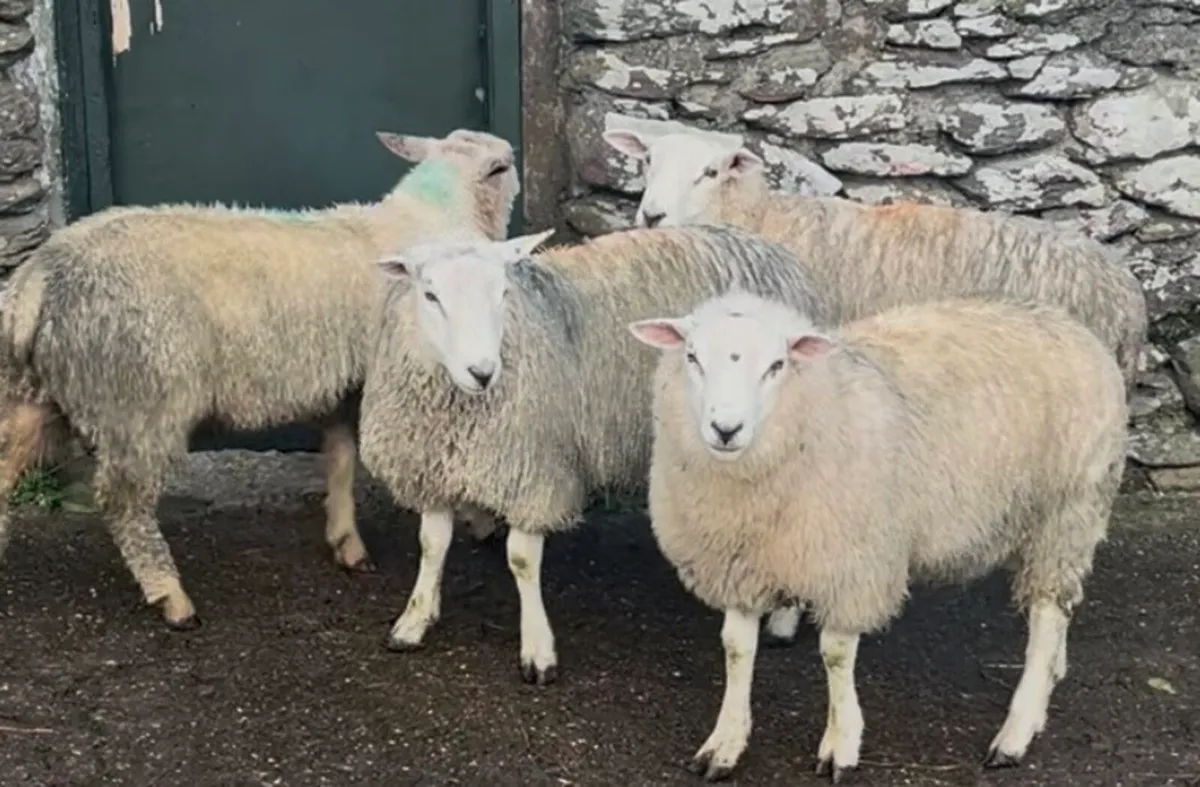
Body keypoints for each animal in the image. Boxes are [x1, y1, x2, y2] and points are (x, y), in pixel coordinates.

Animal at [0, 127, 520, 630]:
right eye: (505, 166)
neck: (431, 217)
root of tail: (37, 277)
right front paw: (476, 518)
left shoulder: (344, 381)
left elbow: (341, 457)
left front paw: (345, 540)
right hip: (140, 399)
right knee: (123, 501)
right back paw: (171, 596)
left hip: (35, 395)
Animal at [357, 224, 835, 685]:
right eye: (430, 295)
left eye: (503, 292)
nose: (482, 371)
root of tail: (773, 250)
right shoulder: (430, 465)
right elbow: (432, 544)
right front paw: (415, 618)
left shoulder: (536, 470)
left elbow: (521, 560)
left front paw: (538, 651)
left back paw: (783, 622)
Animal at [604, 127, 1147, 649]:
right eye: (647, 160)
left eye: (710, 171)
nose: (651, 215)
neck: (761, 218)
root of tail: (1127, 293)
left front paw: (786, 617)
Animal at [629, 290, 1128, 782]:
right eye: (692, 357)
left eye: (776, 365)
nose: (726, 430)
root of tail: (1073, 326)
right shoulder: (739, 565)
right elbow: (735, 649)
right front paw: (725, 743)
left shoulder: (853, 562)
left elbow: (835, 653)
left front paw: (841, 744)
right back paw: (1052, 679)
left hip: (1067, 512)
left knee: (1047, 615)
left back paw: (1016, 731)